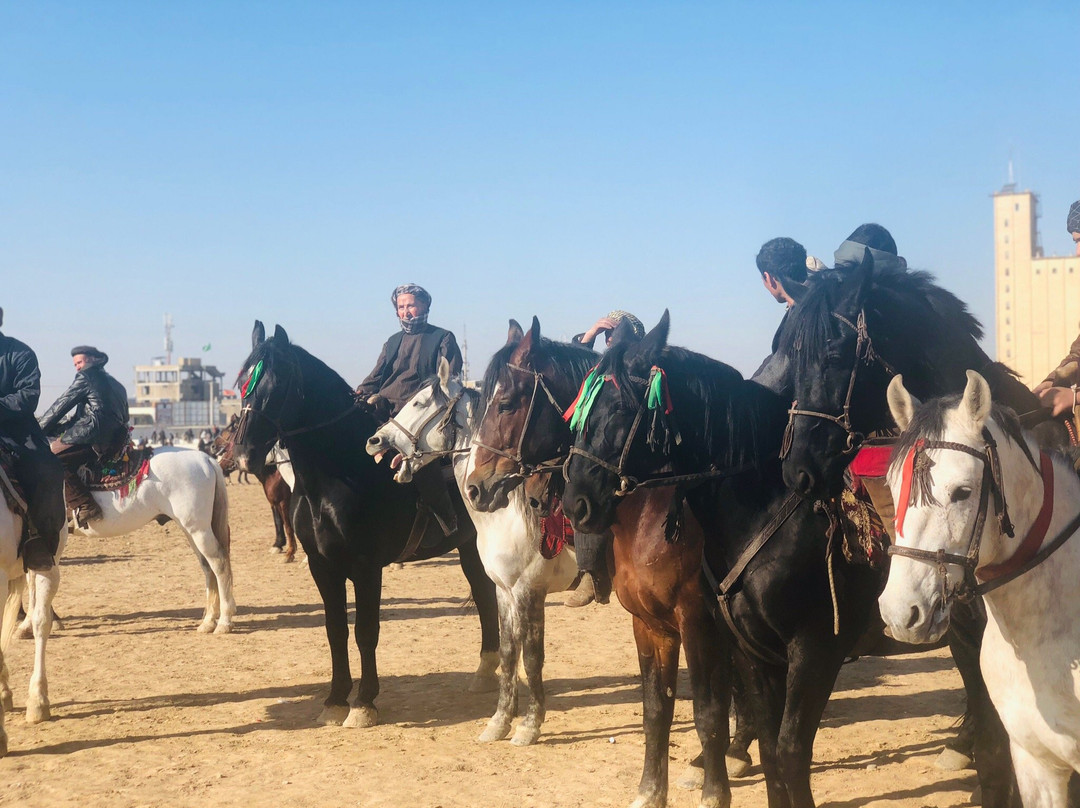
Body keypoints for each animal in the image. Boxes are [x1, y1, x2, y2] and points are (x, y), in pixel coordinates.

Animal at [233, 319, 501, 725]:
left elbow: (365, 631)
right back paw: (486, 670)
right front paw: (334, 699)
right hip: (469, 546)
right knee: (485, 594)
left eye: (274, 386)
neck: (337, 476)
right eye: (242, 384)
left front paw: (363, 703)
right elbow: (335, 630)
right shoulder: (322, 566)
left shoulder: (365, 567)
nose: (244, 454)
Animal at [365, 356, 583, 747]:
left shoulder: (530, 592)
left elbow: (532, 658)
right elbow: (509, 654)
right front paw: (499, 722)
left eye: (419, 403)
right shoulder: (505, 592)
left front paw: (529, 725)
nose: (375, 440)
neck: (506, 512)